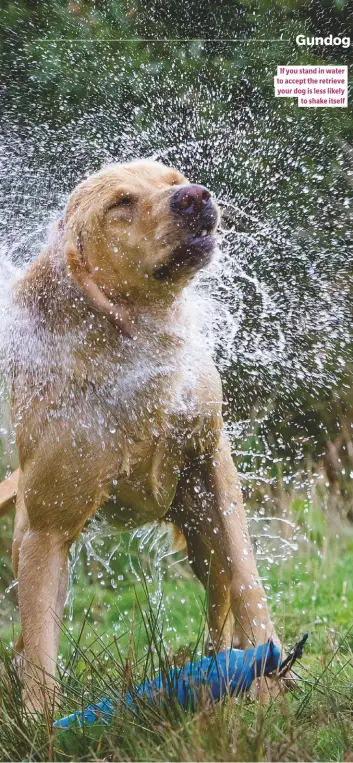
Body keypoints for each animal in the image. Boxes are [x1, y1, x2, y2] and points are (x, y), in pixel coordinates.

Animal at [0, 160, 276, 712]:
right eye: (120, 203)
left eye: (174, 180)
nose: (194, 197)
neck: (137, 353)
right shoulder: (47, 528)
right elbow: (40, 648)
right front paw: (40, 724)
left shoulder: (213, 467)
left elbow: (248, 580)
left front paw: (270, 675)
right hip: (28, 538)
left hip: (200, 533)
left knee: (222, 595)